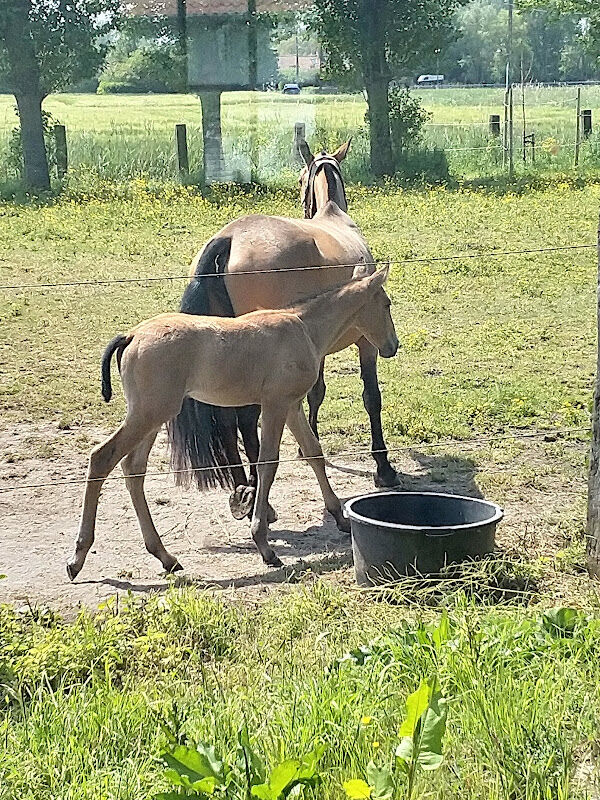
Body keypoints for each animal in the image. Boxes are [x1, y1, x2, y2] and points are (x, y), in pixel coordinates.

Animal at [169, 138, 400, 520]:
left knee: (229, 418)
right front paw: (384, 467)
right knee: (246, 418)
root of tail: (228, 239)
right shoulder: (365, 344)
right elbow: (372, 397)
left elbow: (315, 394)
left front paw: (310, 442)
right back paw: (257, 497)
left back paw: (241, 491)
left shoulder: (315, 346)